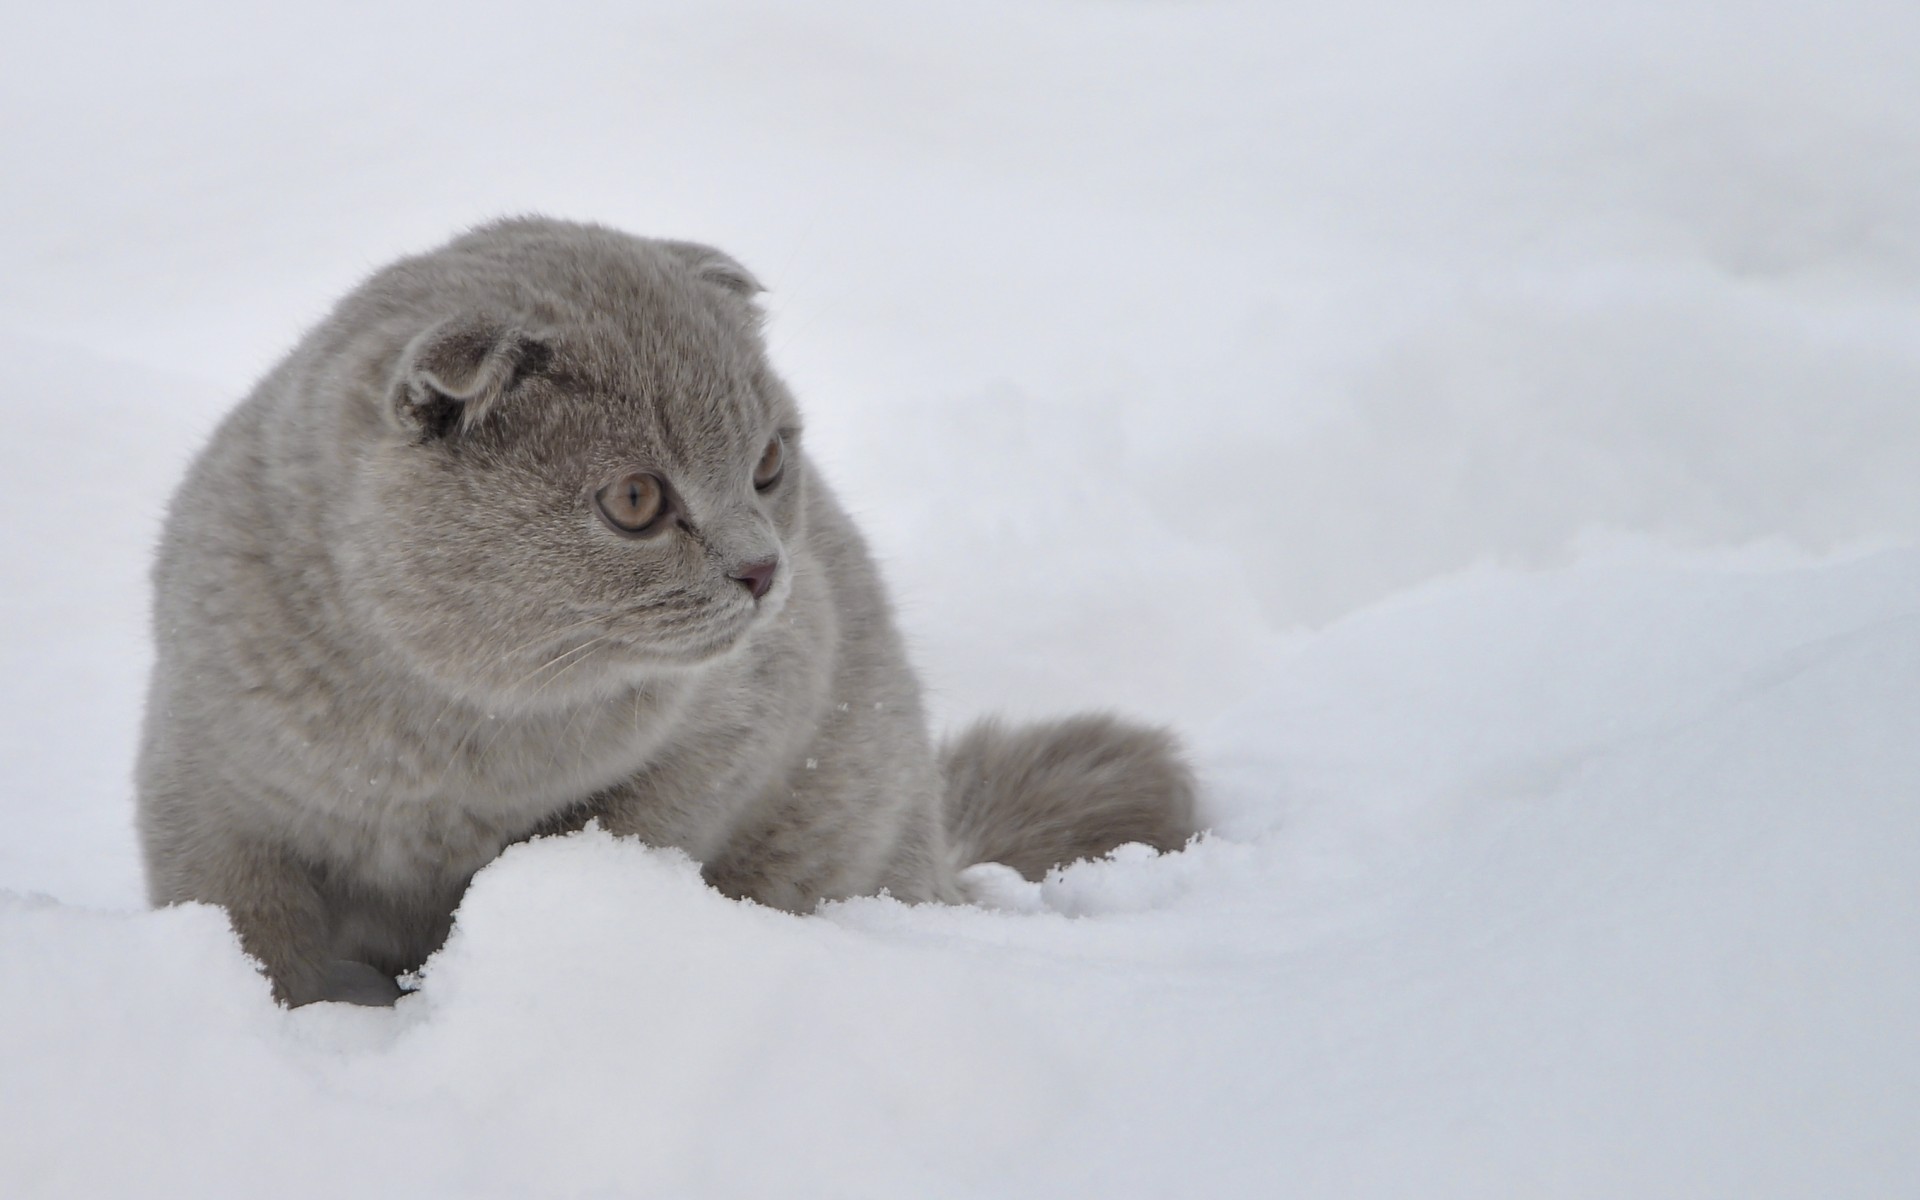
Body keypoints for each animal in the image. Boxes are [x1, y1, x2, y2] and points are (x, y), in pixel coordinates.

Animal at [135, 219, 1190, 1006]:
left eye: (769, 463)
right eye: (637, 501)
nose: (764, 569)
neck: (447, 742)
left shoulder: (737, 722)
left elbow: (622, 832)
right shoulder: (207, 783)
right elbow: (249, 927)